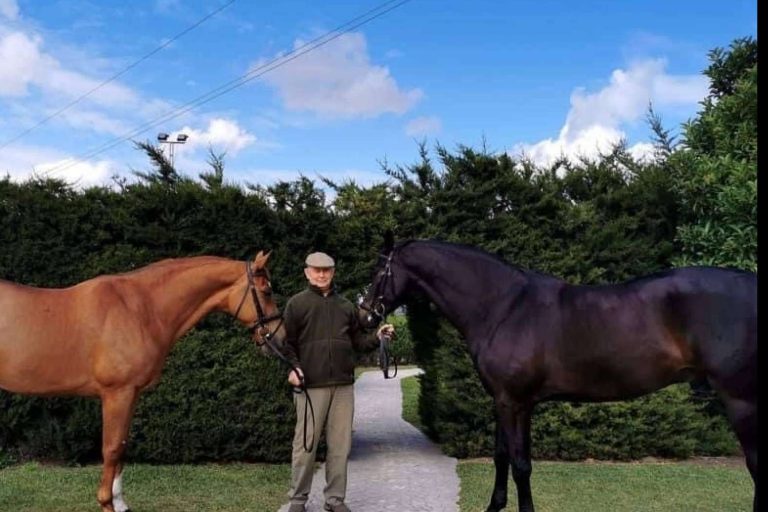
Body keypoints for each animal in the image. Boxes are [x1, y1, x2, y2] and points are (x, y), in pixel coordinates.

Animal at [0, 251, 285, 512]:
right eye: (267, 291)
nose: (279, 339)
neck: (140, 309)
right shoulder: (117, 393)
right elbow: (111, 449)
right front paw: (106, 503)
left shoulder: (132, 394)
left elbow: (123, 447)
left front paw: (119, 502)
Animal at [358, 235, 757, 512]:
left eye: (378, 272)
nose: (365, 314)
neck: (503, 307)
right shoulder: (508, 401)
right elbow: (504, 456)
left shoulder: (514, 402)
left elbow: (520, 464)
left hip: (741, 401)